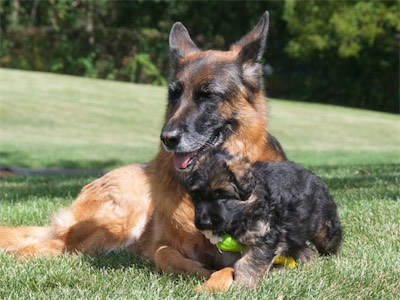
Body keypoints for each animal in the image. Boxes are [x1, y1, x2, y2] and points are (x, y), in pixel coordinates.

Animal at [186, 152, 342, 288]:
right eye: (197, 197)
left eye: (223, 197)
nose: (205, 223)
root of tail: (316, 178)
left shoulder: (263, 237)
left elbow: (247, 264)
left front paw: (242, 286)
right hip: (294, 233)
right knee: (306, 251)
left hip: (324, 227)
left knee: (330, 241)